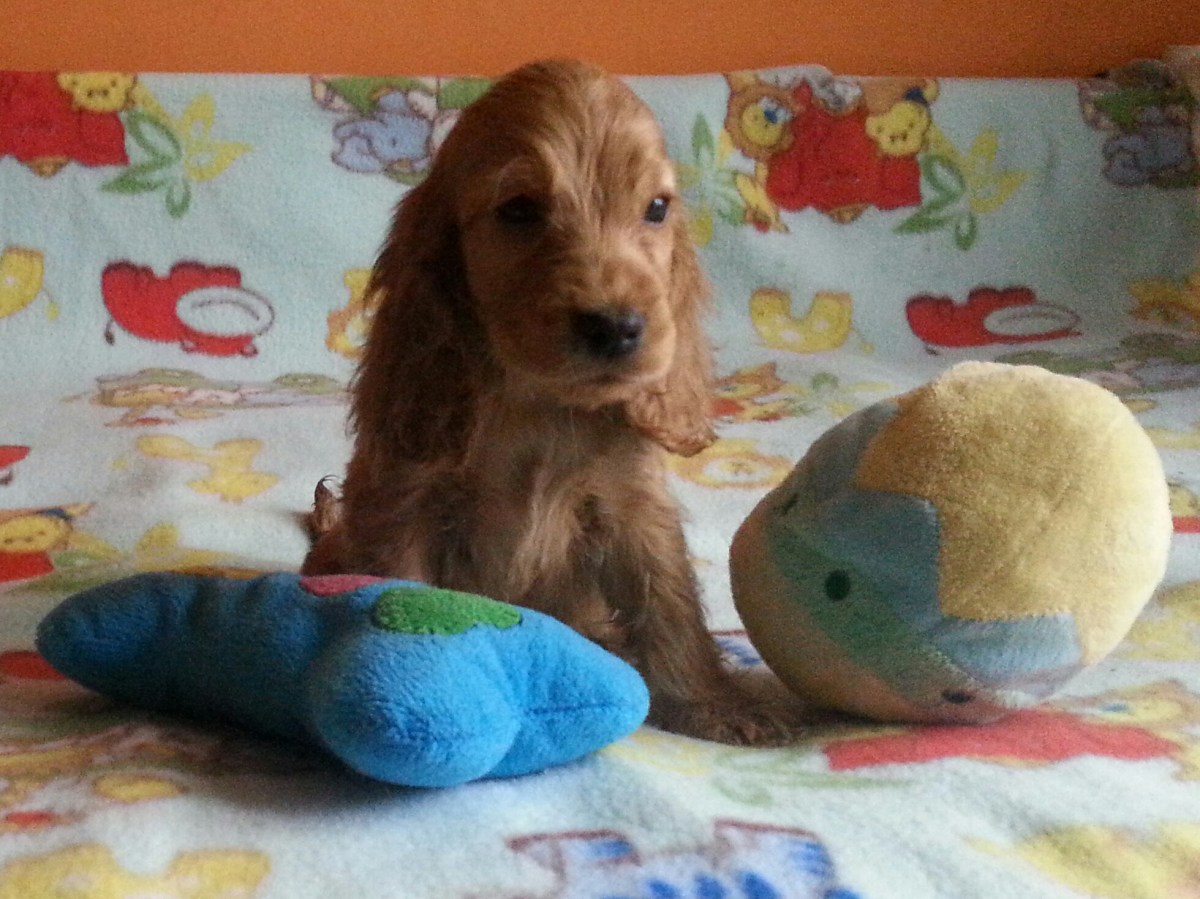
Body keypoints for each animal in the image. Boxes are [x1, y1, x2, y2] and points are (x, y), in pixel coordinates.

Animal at [304, 59, 793, 745]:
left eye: (657, 207)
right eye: (519, 209)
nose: (617, 326)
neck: (537, 401)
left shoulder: (632, 504)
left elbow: (667, 602)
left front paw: (714, 705)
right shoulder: (407, 503)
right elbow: (402, 586)